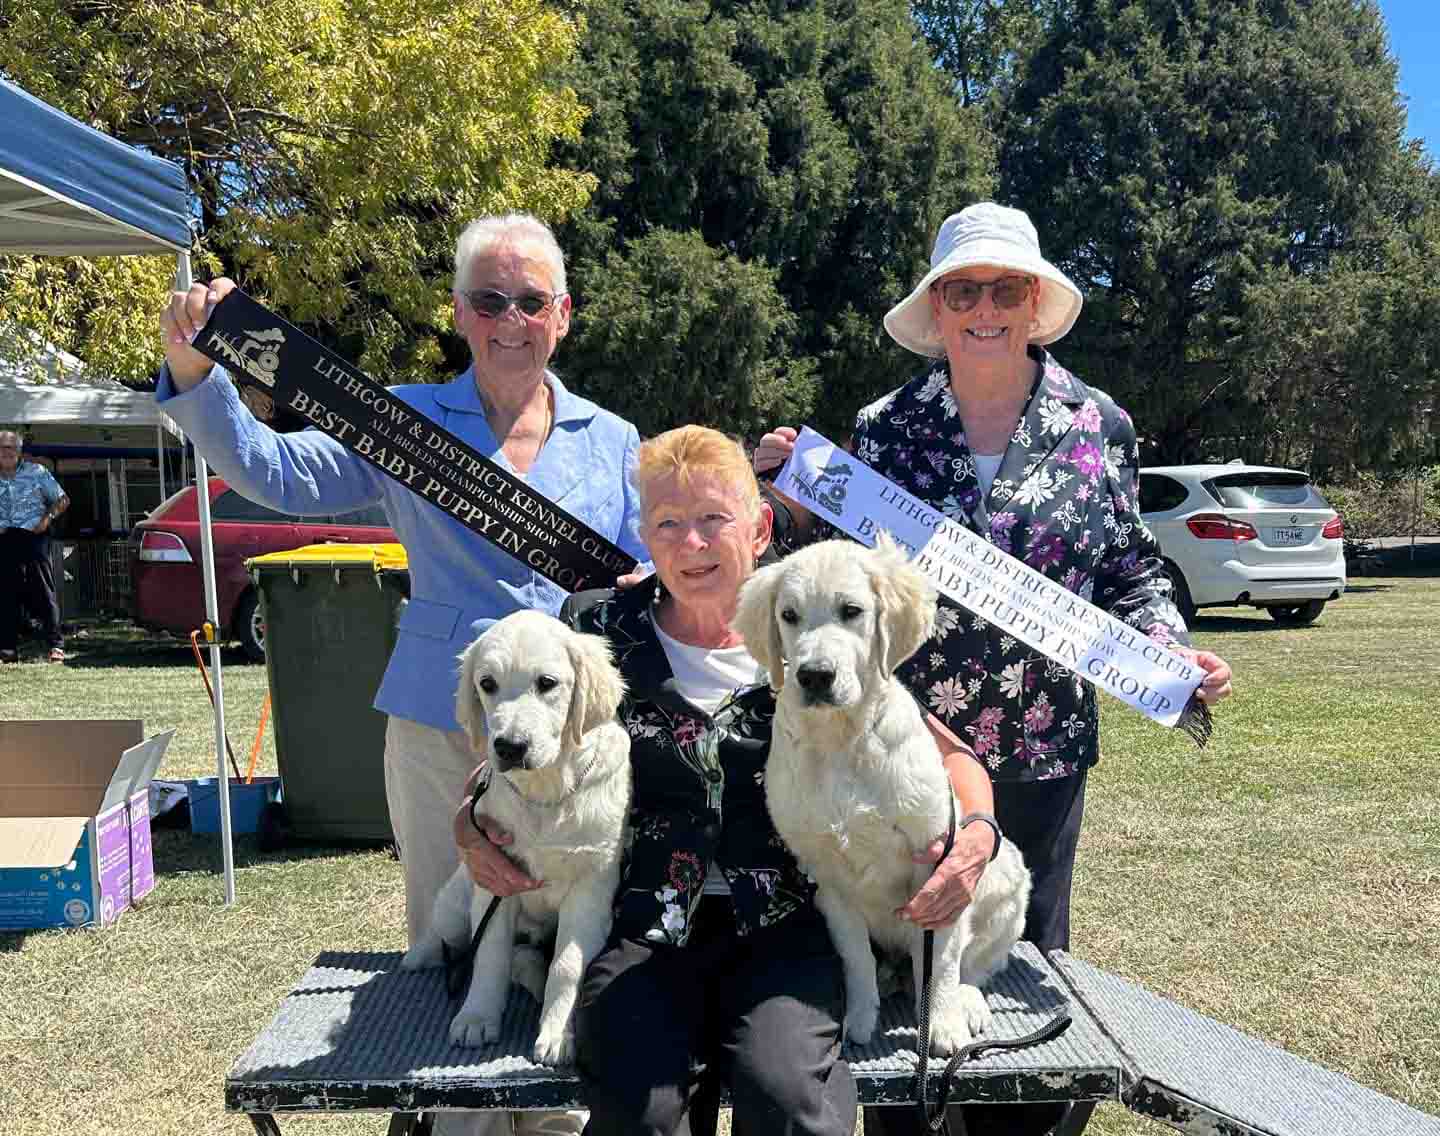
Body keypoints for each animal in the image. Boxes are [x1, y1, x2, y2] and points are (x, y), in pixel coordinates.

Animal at [401, 610, 631, 1066]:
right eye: (487, 684)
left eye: (547, 683)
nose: (509, 746)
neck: (547, 793)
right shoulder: (494, 879)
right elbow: (489, 954)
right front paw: (476, 1018)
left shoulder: (591, 886)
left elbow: (567, 965)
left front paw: (558, 1032)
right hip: (458, 898)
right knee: (447, 932)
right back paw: (420, 955)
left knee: (525, 958)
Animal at [733, 535, 1030, 1055]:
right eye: (788, 615)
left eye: (851, 611)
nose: (814, 675)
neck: (841, 741)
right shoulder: (830, 881)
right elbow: (856, 957)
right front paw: (859, 1019)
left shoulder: (939, 870)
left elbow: (942, 962)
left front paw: (941, 1025)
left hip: (1007, 877)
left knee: (975, 965)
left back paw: (966, 1003)